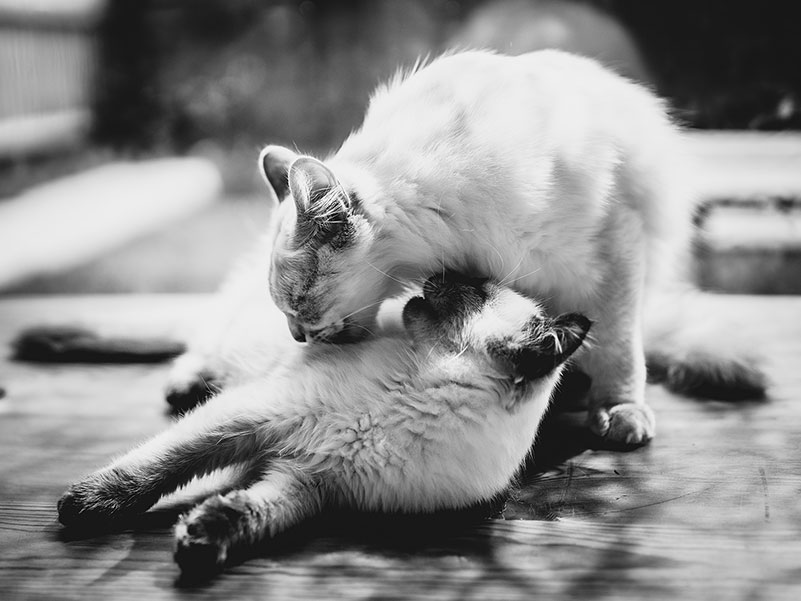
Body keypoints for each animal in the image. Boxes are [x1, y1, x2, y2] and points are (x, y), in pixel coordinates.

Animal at [57, 274, 588, 576]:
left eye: (473, 290)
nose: (437, 273)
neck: (413, 398)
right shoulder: (253, 416)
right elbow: (159, 467)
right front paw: (85, 506)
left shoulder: (309, 484)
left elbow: (249, 514)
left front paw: (203, 539)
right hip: (234, 347)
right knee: (195, 348)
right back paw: (183, 387)